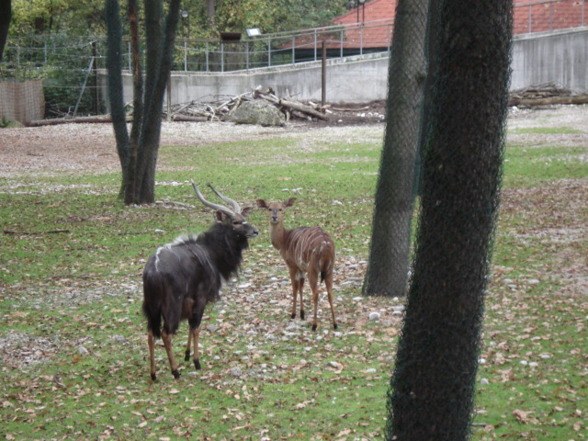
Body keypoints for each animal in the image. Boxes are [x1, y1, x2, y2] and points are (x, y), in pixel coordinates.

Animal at [142, 182, 258, 378]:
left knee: (150, 333)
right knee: (166, 333)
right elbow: (196, 327)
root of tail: (152, 271)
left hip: (152, 308)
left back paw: (153, 374)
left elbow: (190, 325)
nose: (255, 231)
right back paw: (175, 371)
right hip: (170, 306)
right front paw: (196, 361)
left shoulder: (190, 301)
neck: (209, 251)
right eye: (235, 222)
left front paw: (187, 355)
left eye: (244, 217)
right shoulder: (201, 297)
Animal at [256, 198, 338, 328]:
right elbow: (301, 286)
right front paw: (302, 314)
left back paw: (314, 325)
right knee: (330, 292)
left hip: (313, 269)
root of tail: (326, 245)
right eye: (269, 208)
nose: (274, 217)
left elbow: (294, 287)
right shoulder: (301, 268)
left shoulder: (292, 265)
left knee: (316, 293)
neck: (284, 240)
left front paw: (294, 314)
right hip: (329, 269)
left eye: (281, 209)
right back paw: (335, 324)